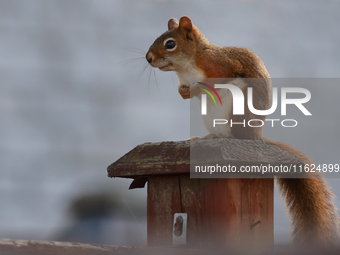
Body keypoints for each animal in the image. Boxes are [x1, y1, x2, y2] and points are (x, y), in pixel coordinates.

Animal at [145, 15, 338, 245]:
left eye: (170, 44)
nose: (148, 58)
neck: (187, 65)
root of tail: (255, 137)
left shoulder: (220, 66)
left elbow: (216, 79)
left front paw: (194, 89)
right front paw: (183, 92)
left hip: (237, 106)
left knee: (233, 135)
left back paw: (218, 137)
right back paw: (204, 136)